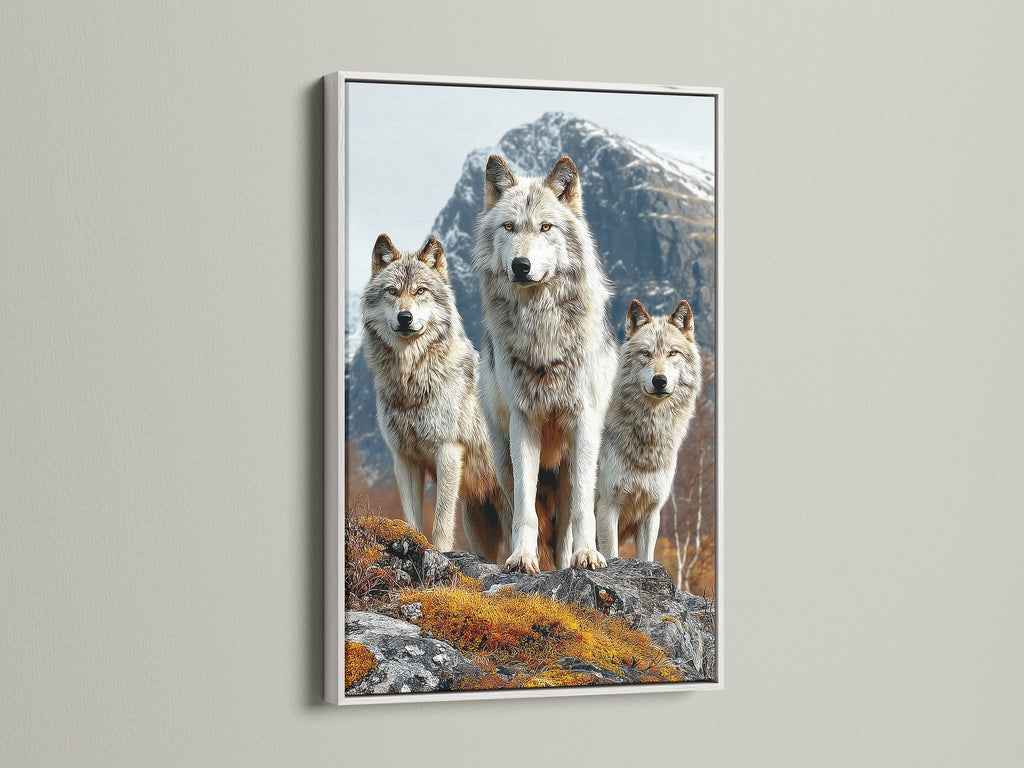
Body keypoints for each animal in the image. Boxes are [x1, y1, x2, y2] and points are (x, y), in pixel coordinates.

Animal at [361, 234, 504, 558]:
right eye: (392, 291)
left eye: (420, 291)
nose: (405, 317)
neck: (412, 380)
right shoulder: (404, 458)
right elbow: (412, 517)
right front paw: (410, 542)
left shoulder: (448, 451)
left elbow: (440, 520)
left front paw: (438, 552)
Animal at [472, 154, 618, 573]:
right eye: (509, 226)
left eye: (545, 227)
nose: (521, 264)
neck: (542, 331)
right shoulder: (524, 423)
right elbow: (525, 511)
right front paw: (522, 558)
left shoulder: (583, 422)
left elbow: (583, 511)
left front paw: (587, 556)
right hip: (503, 460)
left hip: (573, 466)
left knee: (567, 521)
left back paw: (571, 558)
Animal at [596, 299, 702, 562]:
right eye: (646, 353)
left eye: (672, 353)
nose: (659, 381)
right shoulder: (607, 506)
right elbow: (611, 555)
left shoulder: (652, 512)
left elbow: (647, 558)